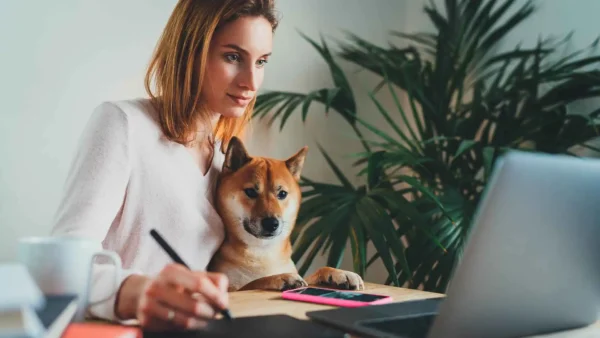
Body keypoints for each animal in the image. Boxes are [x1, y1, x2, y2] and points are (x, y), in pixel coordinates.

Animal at [209, 136, 368, 292]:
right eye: (251, 192)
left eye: (282, 194)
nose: (271, 223)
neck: (263, 252)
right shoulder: (229, 289)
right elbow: (255, 282)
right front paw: (281, 277)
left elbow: (318, 271)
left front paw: (339, 273)